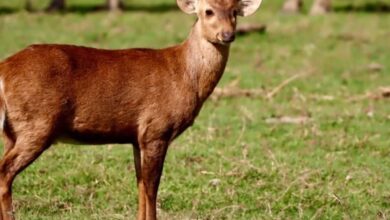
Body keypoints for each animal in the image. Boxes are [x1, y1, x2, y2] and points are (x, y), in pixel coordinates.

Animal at [0, 0, 264, 220]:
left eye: (234, 11)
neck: (186, 75)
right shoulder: (157, 128)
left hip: (13, 130)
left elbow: (140, 185)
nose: (228, 34)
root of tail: (4, 70)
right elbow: (151, 187)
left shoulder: (138, 137)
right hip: (37, 123)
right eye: (208, 11)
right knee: (5, 171)